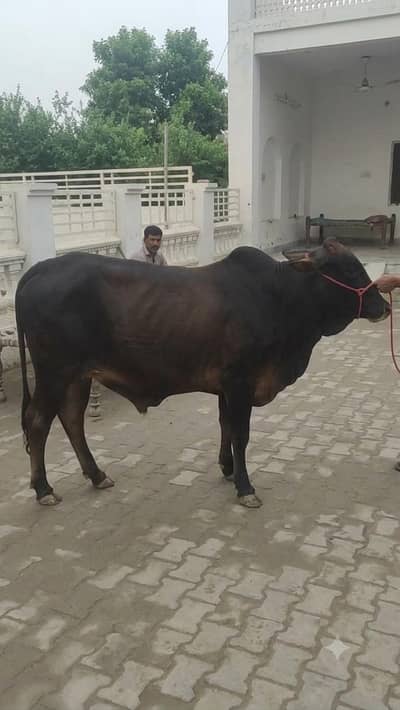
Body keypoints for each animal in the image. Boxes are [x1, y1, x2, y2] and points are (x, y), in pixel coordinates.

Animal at [15, 239, 390, 509]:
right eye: (351, 270)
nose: (384, 306)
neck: (281, 297)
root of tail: (38, 270)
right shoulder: (240, 382)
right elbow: (241, 434)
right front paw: (245, 487)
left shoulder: (227, 387)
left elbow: (226, 427)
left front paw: (228, 469)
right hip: (55, 372)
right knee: (38, 422)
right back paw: (44, 489)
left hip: (79, 375)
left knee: (71, 419)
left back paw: (96, 475)